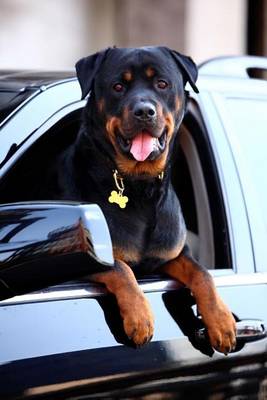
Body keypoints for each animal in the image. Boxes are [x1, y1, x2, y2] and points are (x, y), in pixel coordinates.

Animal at [56, 46, 237, 354]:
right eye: (118, 86)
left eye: (162, 84)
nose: (143, 111)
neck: (139, 187)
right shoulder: (85, 260)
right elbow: (121, 268)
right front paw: (140, 317)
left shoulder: (173, 254)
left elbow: (202, 273)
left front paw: (221, 321)